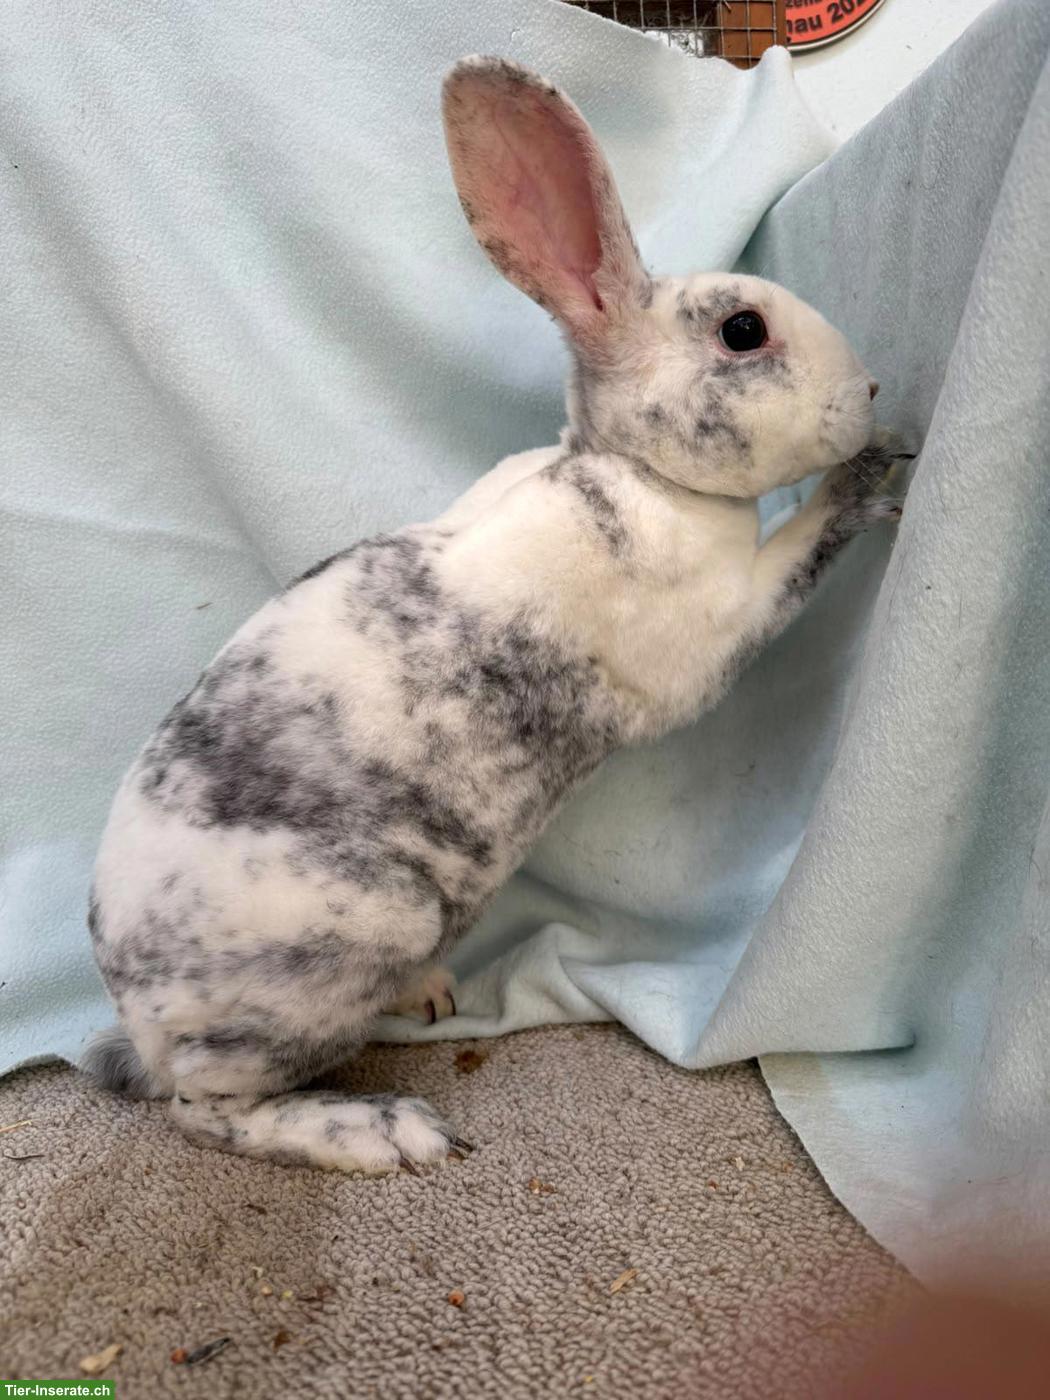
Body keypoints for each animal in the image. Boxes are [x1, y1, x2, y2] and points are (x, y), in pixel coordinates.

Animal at [82, 56, 904, 1174]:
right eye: (744, 331)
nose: (869, 390)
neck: (630, 473)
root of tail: (143, 1021)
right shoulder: (722, 623)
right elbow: (802, 551)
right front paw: (873, 478)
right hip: (353, 933)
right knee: (211, 1109)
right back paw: (382, 1129)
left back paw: (430, 996)